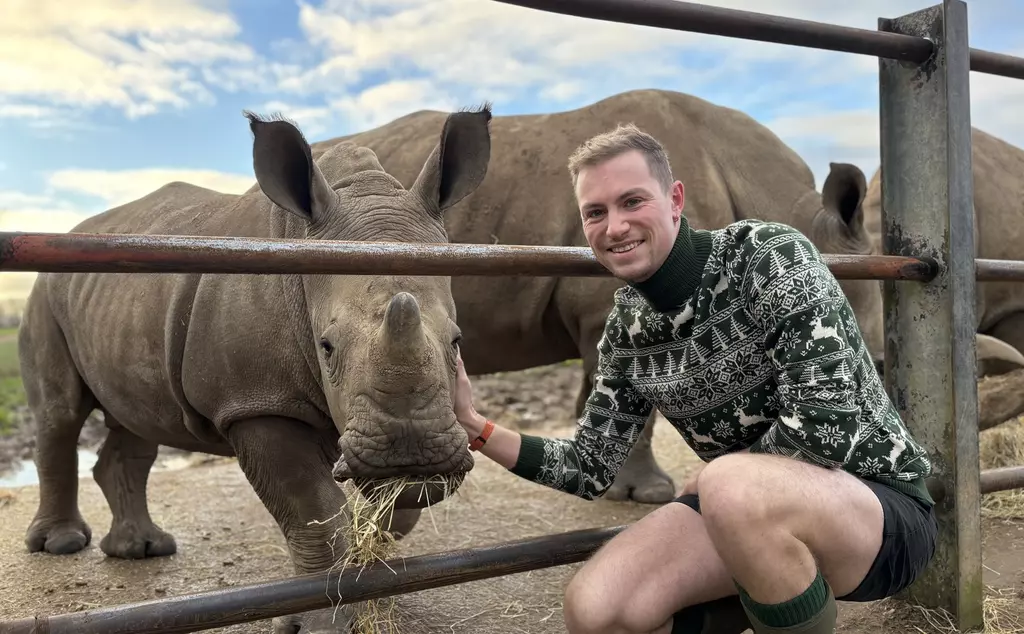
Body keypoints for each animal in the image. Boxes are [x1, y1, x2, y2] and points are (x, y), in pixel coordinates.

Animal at [18, 106, 493, 633]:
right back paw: (63, 545)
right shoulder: (255, 401)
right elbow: (313, 511)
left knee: (136, 419)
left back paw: (141, 550)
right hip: (44, 292)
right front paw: (319, 623)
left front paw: (377, 557)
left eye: (457, 341)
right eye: (326, 347)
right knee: (61, 413)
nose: (412, 456)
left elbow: (399, 506)